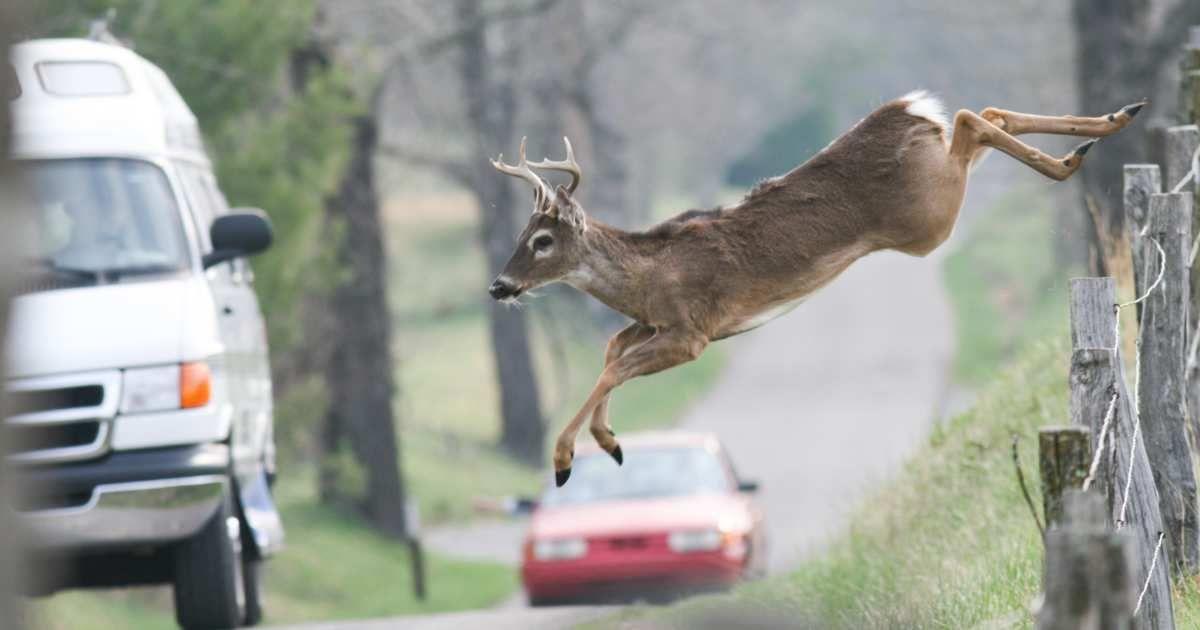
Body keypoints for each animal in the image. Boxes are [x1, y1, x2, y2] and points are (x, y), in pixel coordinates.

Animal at [487, 91, 1145, 486]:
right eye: (520, 233)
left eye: (541, 240)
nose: (499, 285)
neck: (646, 275)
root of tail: (908, 110)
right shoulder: (656, 324)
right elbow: (611, 351)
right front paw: (609, 440)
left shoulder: (691, 332)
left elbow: (613, 365)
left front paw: (566, 459)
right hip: (937, 192)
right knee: (985, 114)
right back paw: (1110, 123)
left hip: (929, 218)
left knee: (970, 118)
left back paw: (1075, 155)